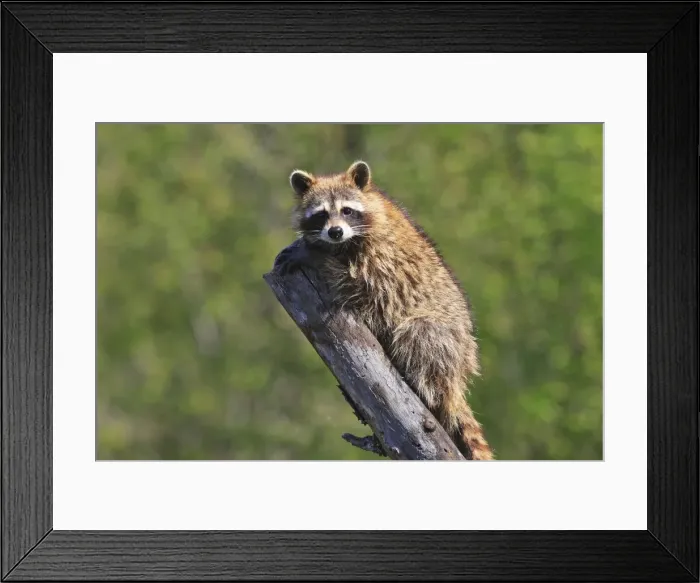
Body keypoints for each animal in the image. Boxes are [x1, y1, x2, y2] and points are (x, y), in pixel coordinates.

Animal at [274, 160, 493, 460]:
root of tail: (459, 374)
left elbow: (361, 287)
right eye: (321, 214)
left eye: (347, 210)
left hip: (446, 339)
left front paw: (314, 256)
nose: (335, 232)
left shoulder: (382, 259)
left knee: (421, 333)